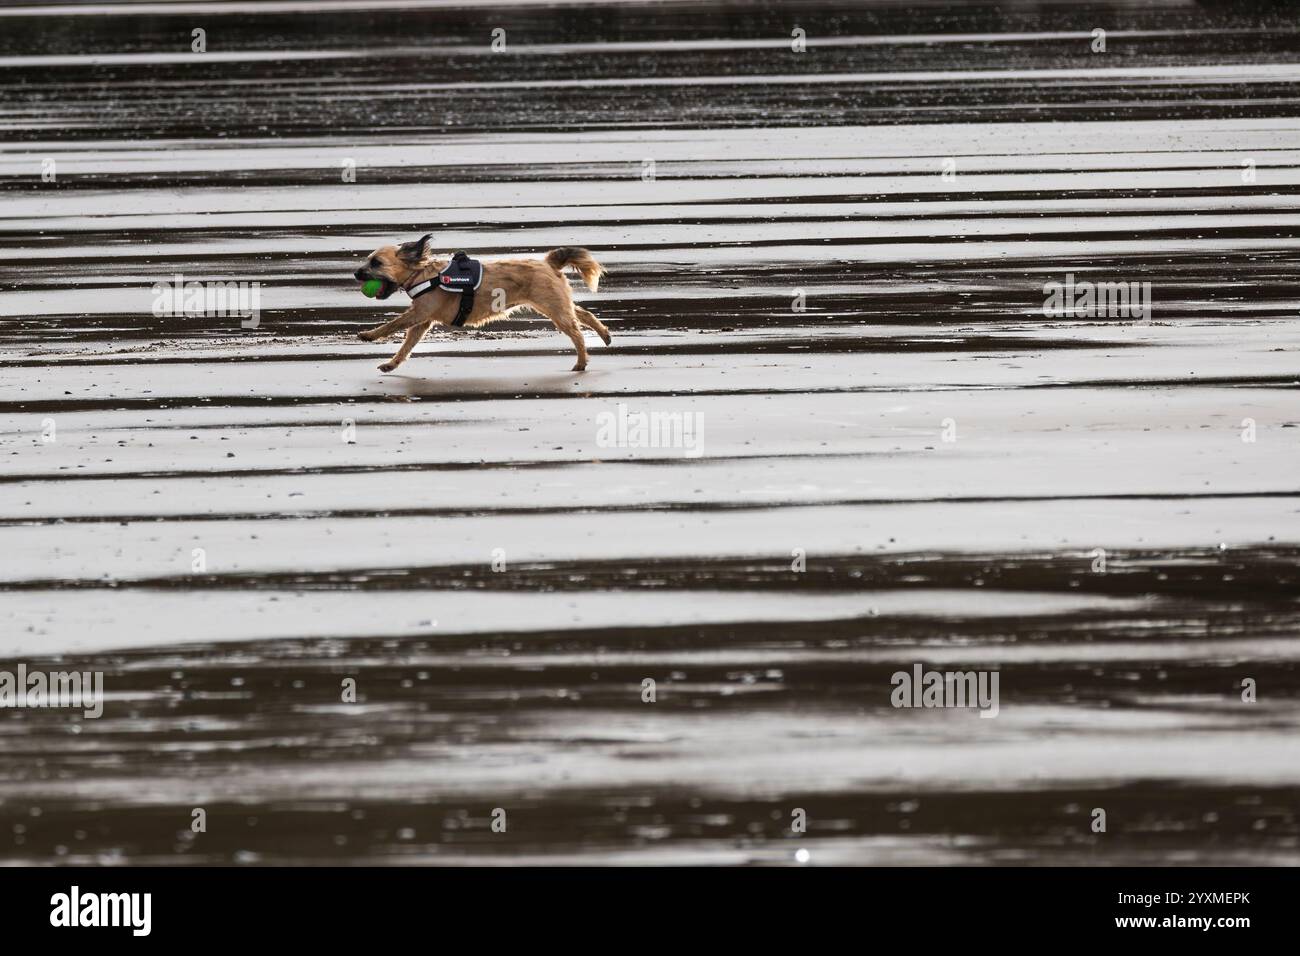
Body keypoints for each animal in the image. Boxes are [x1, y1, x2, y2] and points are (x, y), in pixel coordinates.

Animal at [353, 235, 611, 374]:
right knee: (584, 315)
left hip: (554, 308)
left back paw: (581, 362)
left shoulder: (419, 313)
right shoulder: (421, 322)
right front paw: (391, 364)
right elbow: (406, 347)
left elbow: (392, 325)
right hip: (559, 304)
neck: (422, 273)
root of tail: (548, 262)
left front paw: (369, 335)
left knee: (577, 333)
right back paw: (605, 335)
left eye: (376, 263)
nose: (356, 273)